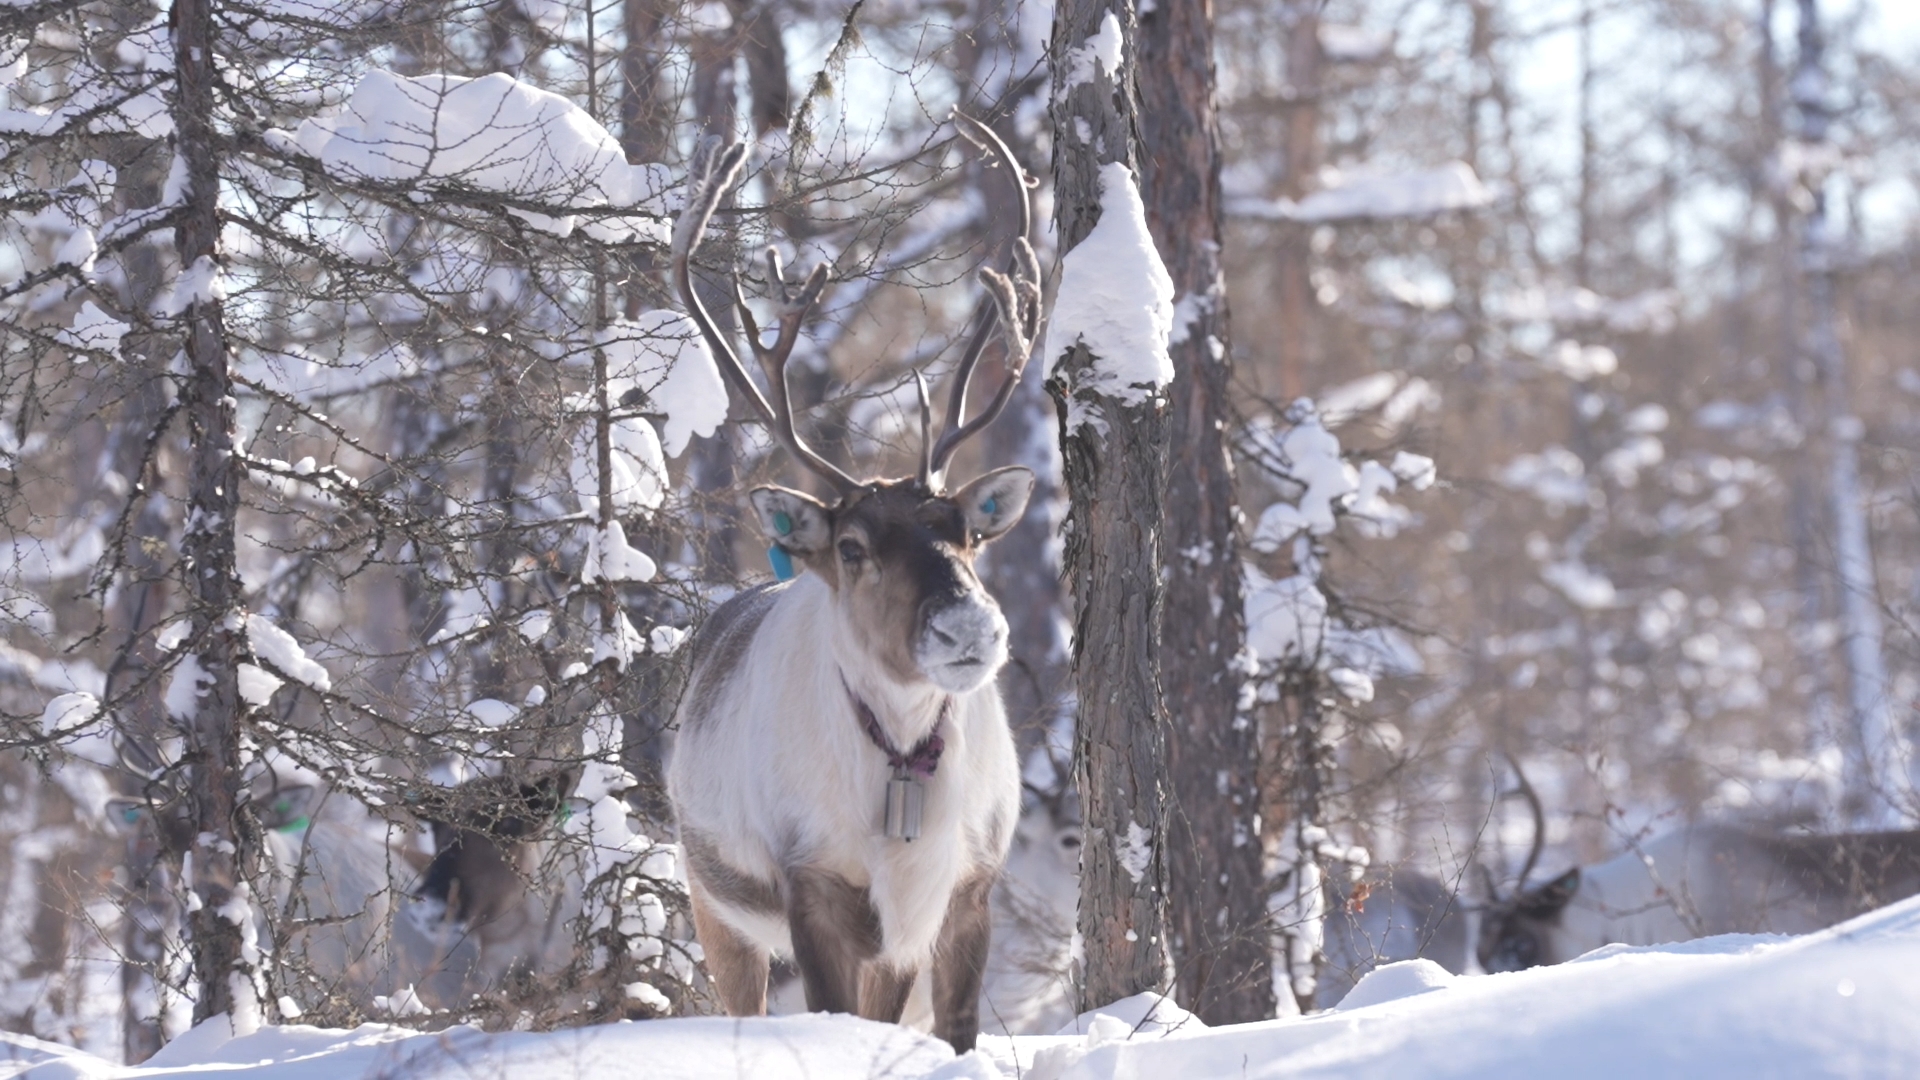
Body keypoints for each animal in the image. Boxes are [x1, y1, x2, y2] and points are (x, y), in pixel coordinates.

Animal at [664, 114, 1042, 1052]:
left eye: (968, 533)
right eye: (854, 547)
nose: (968, 628)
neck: (903, 756)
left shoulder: (966, 887)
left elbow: (956, 1028)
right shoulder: (814, 882)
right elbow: (829, 1014)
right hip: (711, 897)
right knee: (743, 1003)